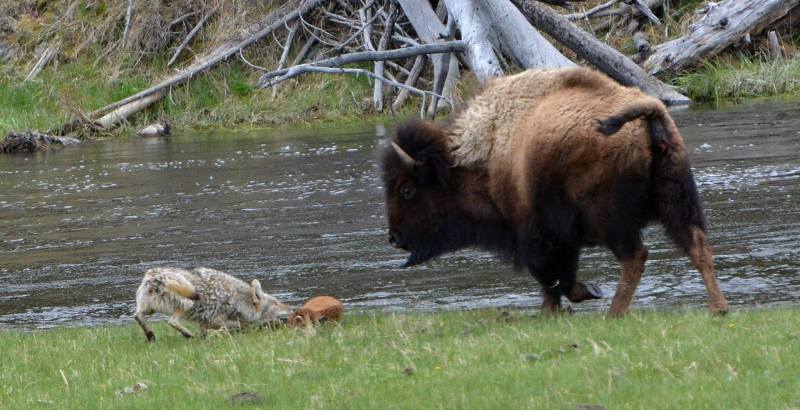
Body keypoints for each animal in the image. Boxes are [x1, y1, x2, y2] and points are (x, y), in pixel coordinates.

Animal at [134, 268, 294, 342]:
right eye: (276, 303)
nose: (293, 309)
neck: (238, 300)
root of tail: (154, 275)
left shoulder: (204, 322)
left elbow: (205, 332)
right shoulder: (213, 320)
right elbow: (238, 326)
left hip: (149, 309)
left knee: (137, 316)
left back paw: (150, 335)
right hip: (187, 302)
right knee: (172, 321)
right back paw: (187, 334)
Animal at [382, 67, 732, 318]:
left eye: (407, 189)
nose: (394, 238)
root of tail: (649, 114)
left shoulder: (535, 236)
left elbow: (551, 278)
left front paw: (570, 301)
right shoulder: (558, 239)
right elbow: (558, 278)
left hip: (613, 219)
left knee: (635, 258)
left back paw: (613, 314)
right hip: (677, 201)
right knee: (698, 247)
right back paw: (718, 308)